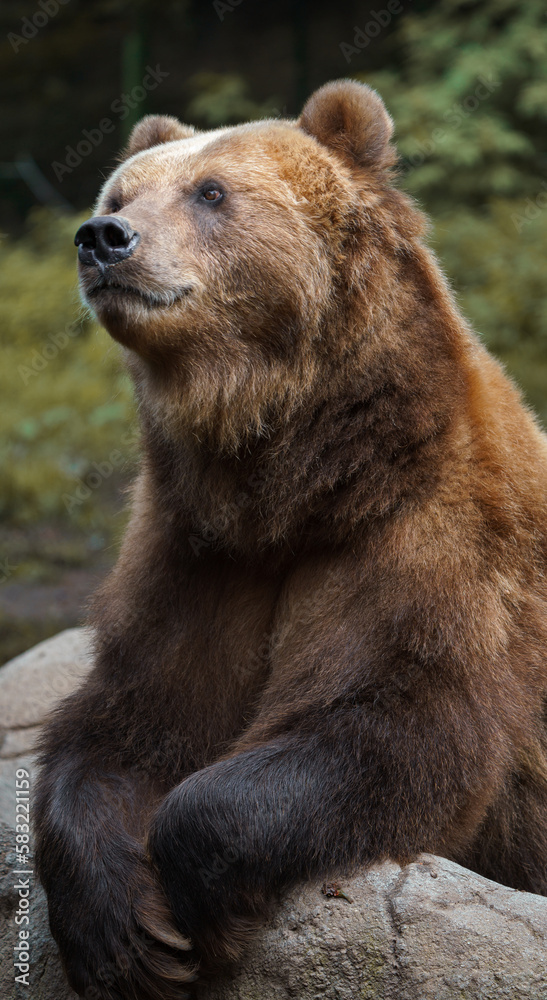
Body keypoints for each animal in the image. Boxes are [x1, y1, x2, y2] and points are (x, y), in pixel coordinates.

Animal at [35, 80, 547, 1000]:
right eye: (119, 194)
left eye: (210, 192)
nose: (103, 240)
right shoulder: (198, 554)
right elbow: (127, 719)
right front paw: (123, 935)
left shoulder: (426, 540)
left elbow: (397, 722)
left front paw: (197, 909)